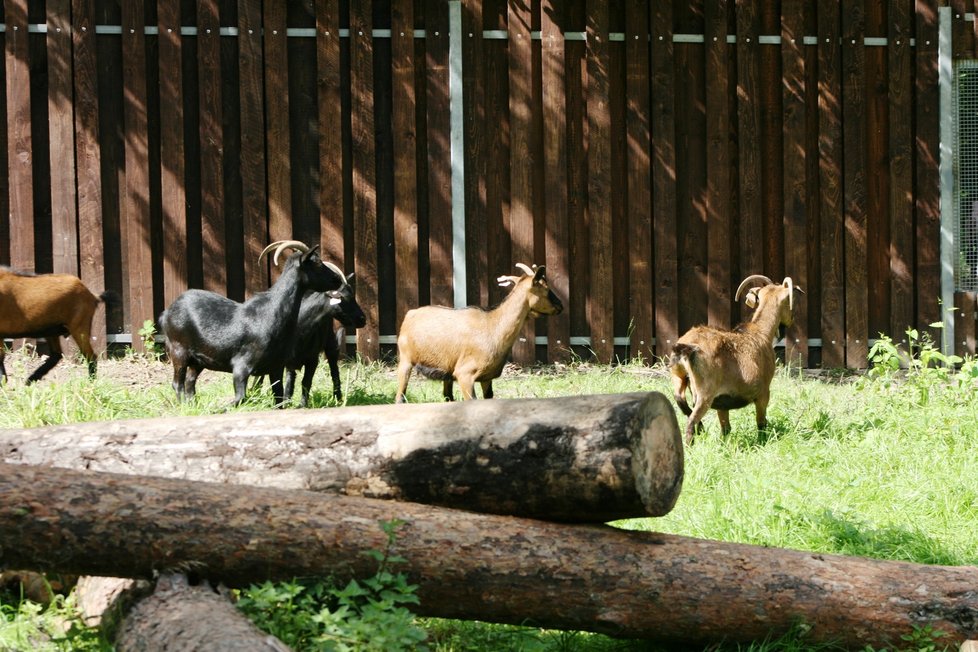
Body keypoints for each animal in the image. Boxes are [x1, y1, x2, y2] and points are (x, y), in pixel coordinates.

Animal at [159, 241, 344, 402]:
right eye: (317, 263)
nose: (338, 279)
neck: (271, 314)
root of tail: (166, 313)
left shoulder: (276, 367)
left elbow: (279, 400)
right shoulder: (241, 367)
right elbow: (240, 398)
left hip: (198, 360)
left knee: (190, 382)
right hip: (178, 351)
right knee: (178, 384)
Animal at [394, 264, 564, 402]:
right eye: (546, 289)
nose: (560, 305)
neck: (493, 327)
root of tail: (411, 313)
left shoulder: (486, 378)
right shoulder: (465, 375)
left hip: (446, 370)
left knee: (448, 397)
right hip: (405, 360)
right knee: (400, 397)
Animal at [668, 272, 804, 446]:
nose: (791, 320)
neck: (761, 333)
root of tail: (686, 347)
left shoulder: (721, 401)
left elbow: (726, 428)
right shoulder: (763, 392)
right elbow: (761, 422)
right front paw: (762, 442)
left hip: (679, 377)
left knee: (680, 401)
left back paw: (700, 430)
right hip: (704, 394)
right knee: (690, 421)